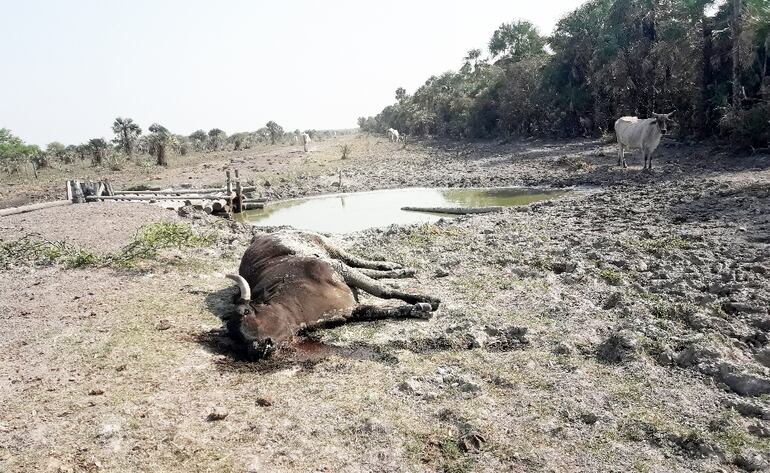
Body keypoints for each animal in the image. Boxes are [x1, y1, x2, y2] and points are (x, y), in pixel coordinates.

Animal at [222, 230, 438, 358]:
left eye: (246, 312)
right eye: (235, 339)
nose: (256, 348)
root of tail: (260, 236)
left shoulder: (337, 269)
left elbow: (382, 290)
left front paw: (427, 299)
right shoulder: (350, 311)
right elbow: (378, 309)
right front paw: (419, 308)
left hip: (331, 248)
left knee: (358, 262)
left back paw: (397, 268)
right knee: (366, 271)